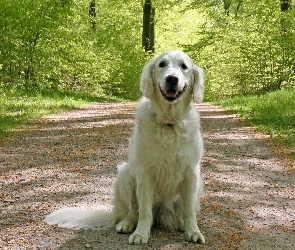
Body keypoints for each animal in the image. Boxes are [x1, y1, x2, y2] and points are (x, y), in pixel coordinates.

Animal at [45, 50, 206, 244]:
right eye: (162, 64)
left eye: (184, 66)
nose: (172, 79)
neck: (169, 122)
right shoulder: (145, 173)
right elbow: (144, 211)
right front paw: (141, 234)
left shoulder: (191, 172)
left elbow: (189, 210)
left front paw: (193, 231)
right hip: (126, 174)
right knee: (132, 212)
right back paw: (127, 224)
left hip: (198, 184)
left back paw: (181, 224)